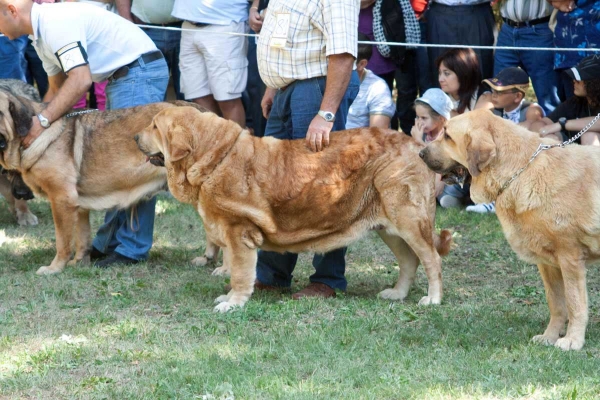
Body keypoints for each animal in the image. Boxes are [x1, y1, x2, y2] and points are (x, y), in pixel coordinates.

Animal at [136, 106, 452, 312]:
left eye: (154, 127)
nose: (135, 138)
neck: (215, 157)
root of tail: (416, 145)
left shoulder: (239, 234)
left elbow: (239, 274)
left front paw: (232, 303)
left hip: (409, 220)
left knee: (432, 260)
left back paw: (433, 299)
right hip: (389, 226)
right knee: (409, 260)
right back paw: (397, 294)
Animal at [420, 109, 600, 350]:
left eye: (447, 136)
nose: (420, 153)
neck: (519, 170)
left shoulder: (570, 257)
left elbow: (574, 303)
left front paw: (572, 340)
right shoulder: (548, 263)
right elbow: (556, 303)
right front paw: (549, 337)